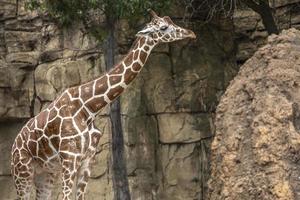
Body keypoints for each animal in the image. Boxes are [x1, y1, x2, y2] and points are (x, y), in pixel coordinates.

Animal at [10, 10, 196, 199]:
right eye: (163, 27)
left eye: (170, 21)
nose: (191, 33)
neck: (89, 108)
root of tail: (14, 146)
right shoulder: (69, 157)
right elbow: (66, 196)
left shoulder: (88, 159)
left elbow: (80, 196)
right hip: (22, 171)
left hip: (46, 172)